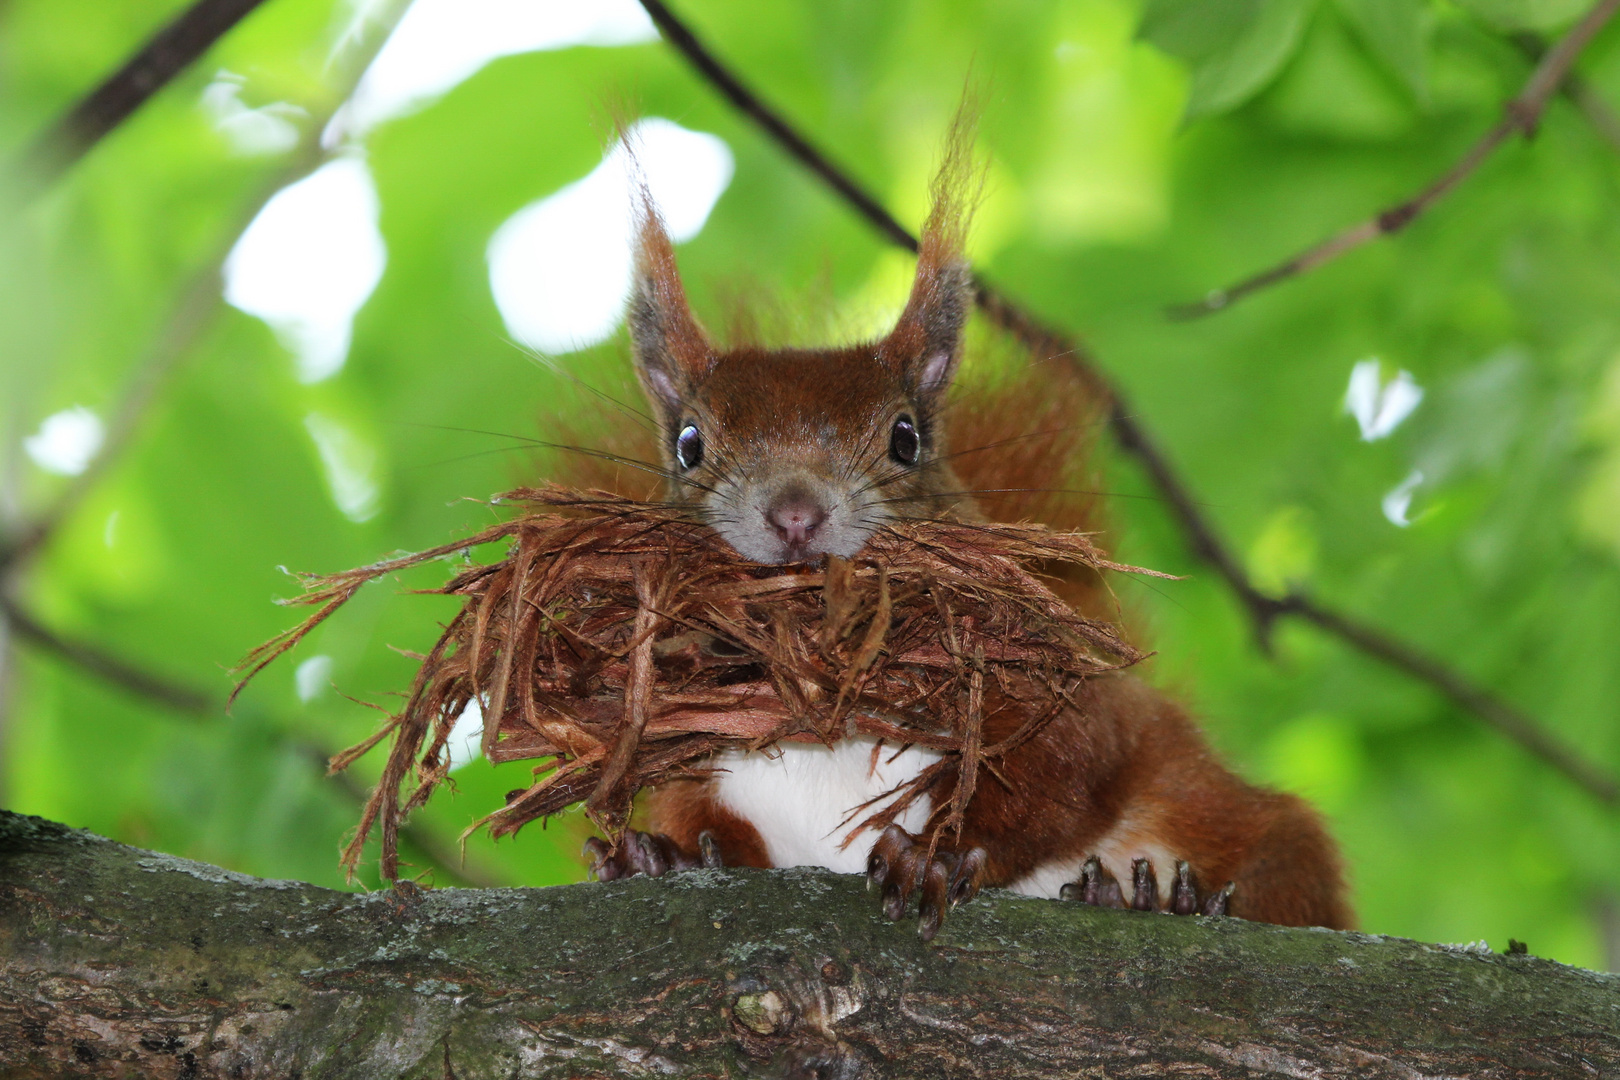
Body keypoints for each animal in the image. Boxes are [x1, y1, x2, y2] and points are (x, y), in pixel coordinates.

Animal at [576, 131, 1347, 939]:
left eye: (905, 437)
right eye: (689, 443)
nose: (794, 513)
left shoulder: (1064, 696)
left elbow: (1057, 772)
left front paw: (935, 855)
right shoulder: (689, 763)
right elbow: (705, 824)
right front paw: (659, 856)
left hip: (1258, 832)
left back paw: (1160, 897)